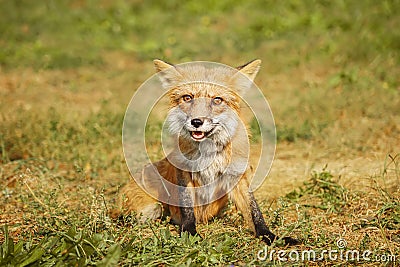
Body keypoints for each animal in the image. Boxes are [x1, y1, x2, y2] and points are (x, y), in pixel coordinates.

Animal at [117, 59, 298, 246]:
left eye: (217, 100)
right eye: (188, 98)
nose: (196, 122)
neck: (209, 153)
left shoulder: (236, 175)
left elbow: (255, 212)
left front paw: (270, 236)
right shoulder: (184, 171)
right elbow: (187, 208)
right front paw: (190, 234)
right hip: (149, 209)